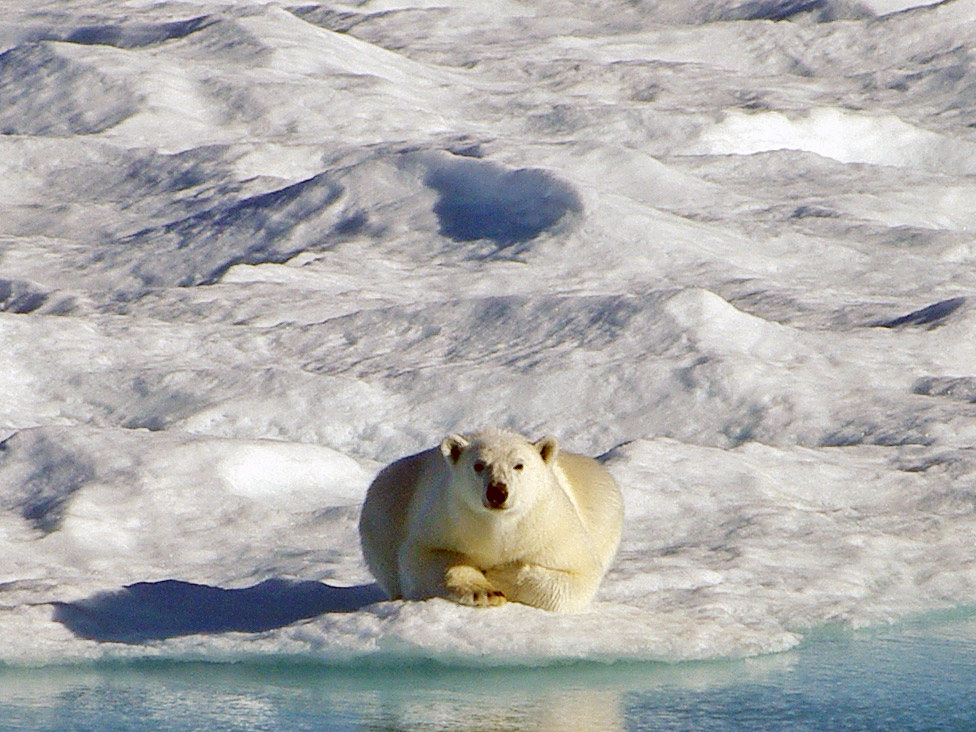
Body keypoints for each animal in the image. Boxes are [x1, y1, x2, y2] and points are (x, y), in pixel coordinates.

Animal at [360, 428, 624, 612]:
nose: (497, 491)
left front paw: (500, 573)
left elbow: (578, 573)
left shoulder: (551, 527)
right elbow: (422, 558)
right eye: (479, 465)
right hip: (385, 504)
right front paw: (483, 591)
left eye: (519, 465)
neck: (497, 525)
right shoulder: (445, 518)